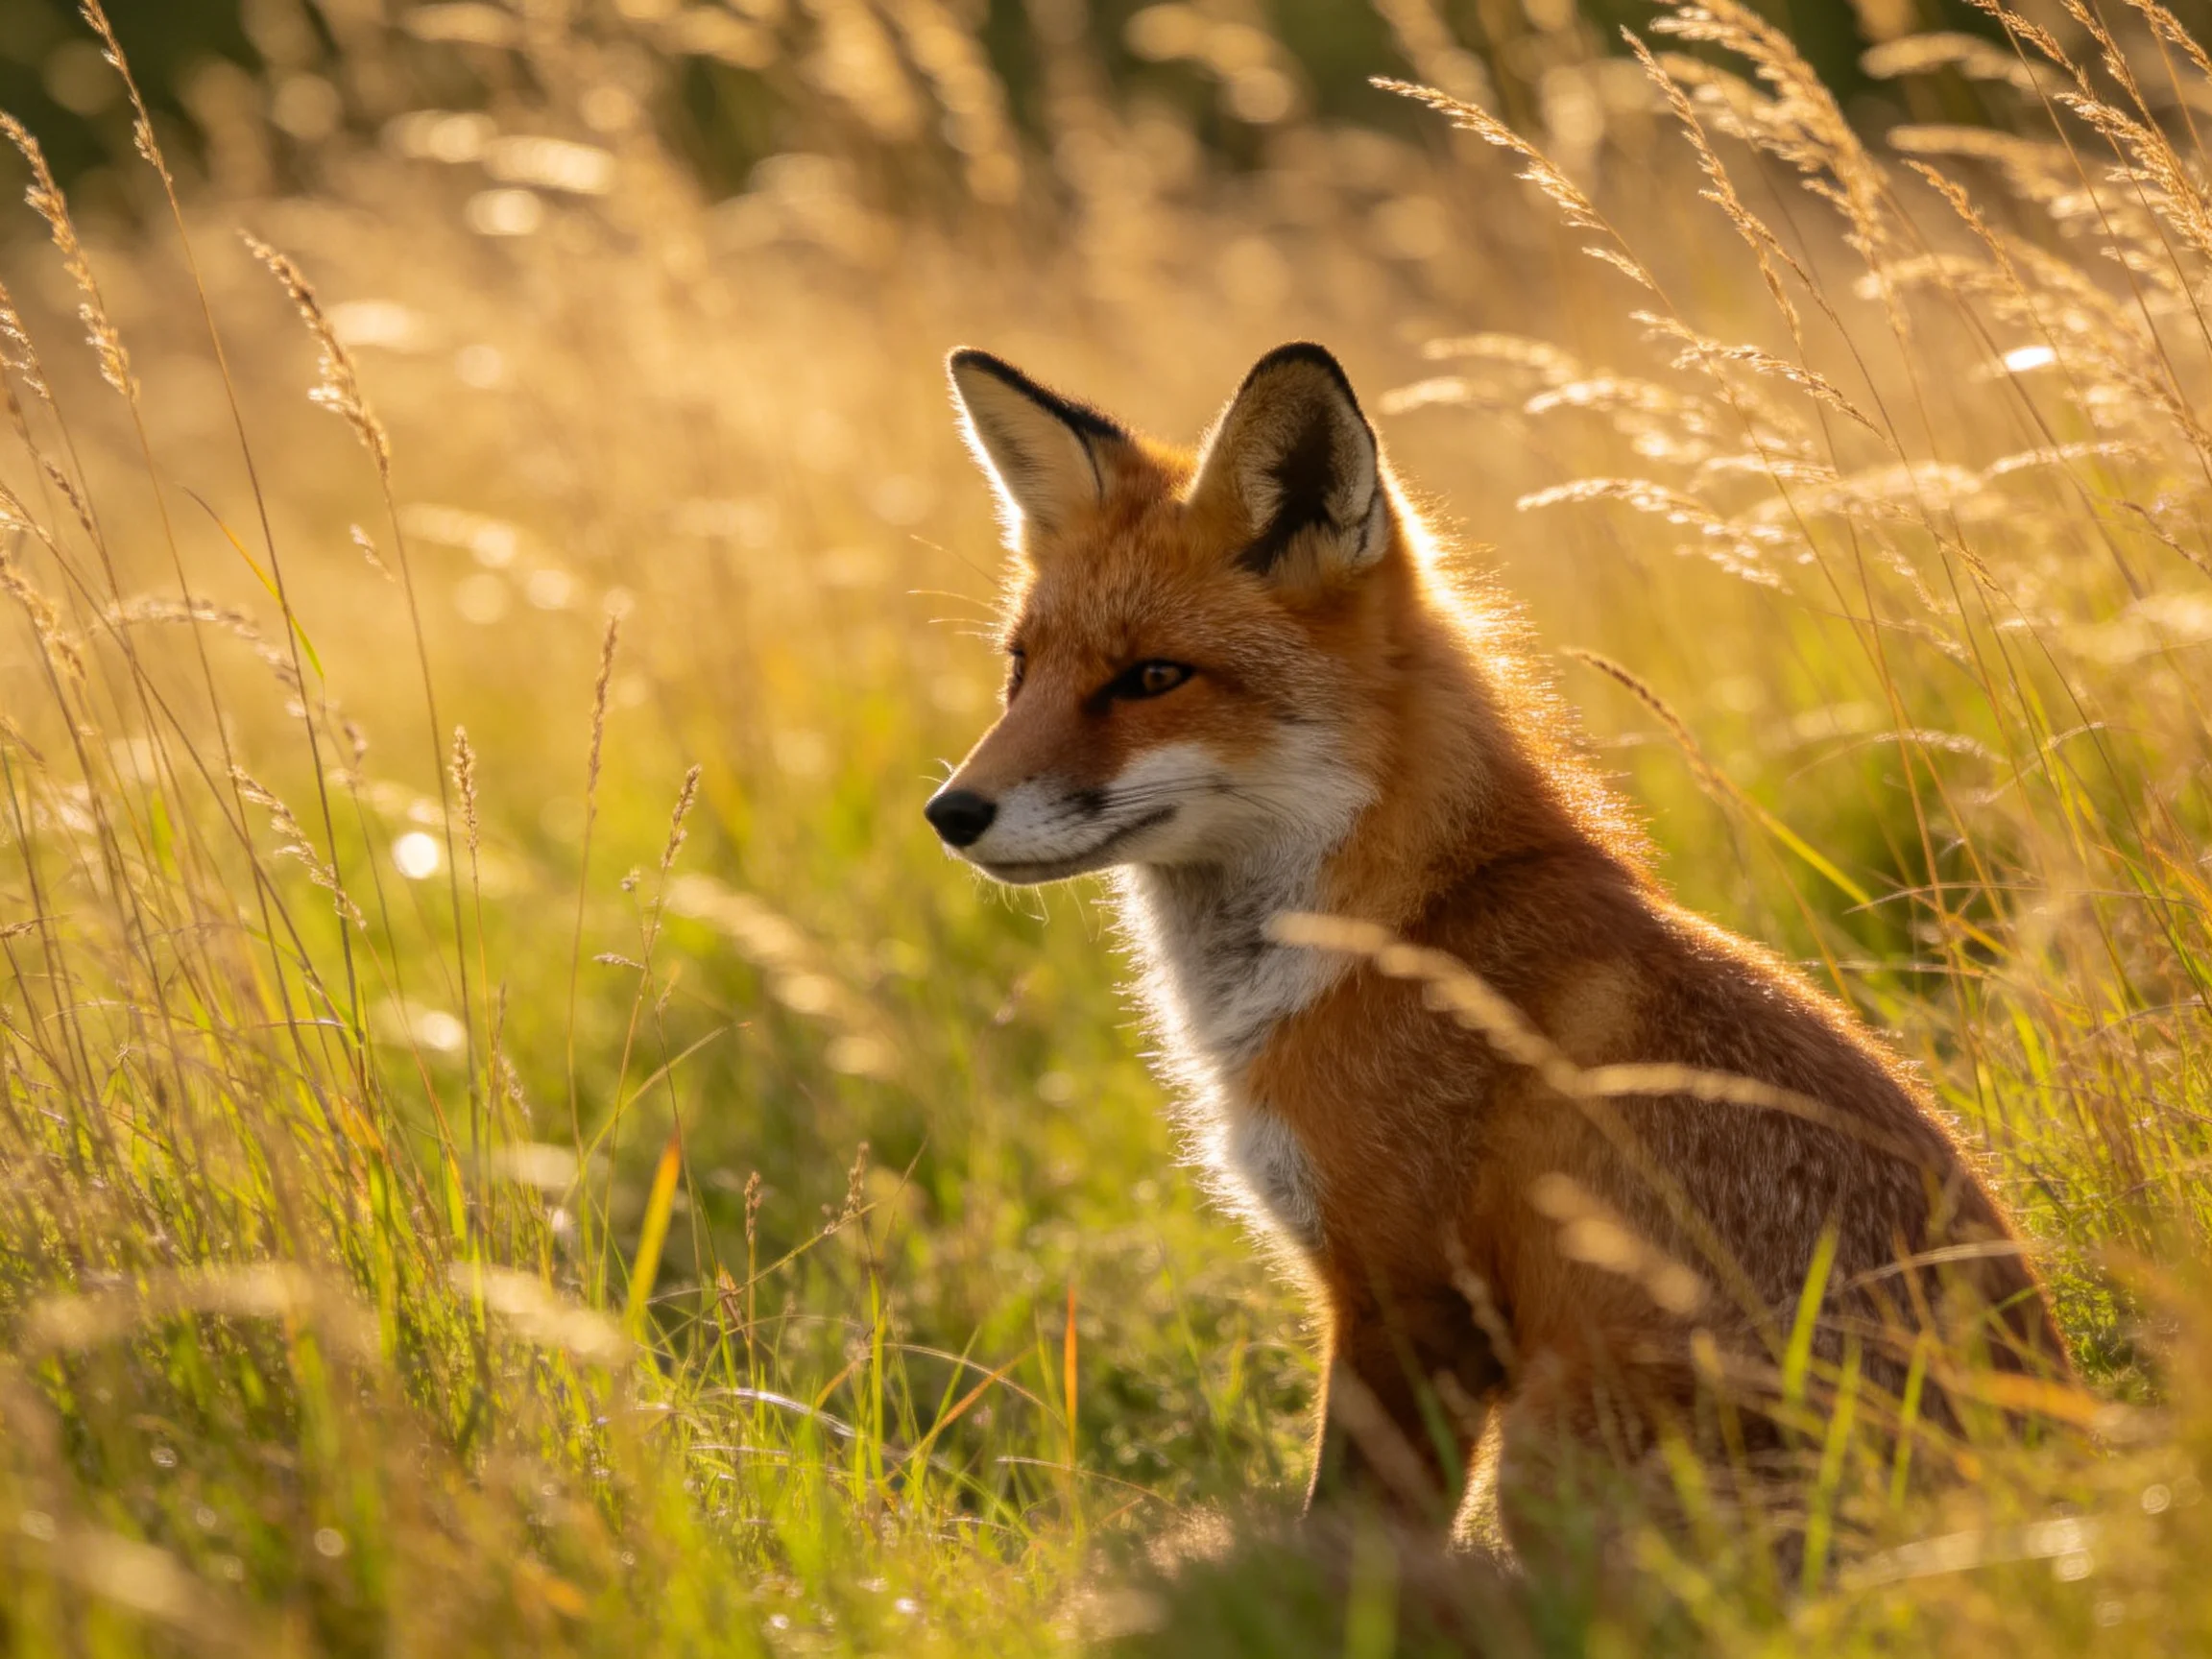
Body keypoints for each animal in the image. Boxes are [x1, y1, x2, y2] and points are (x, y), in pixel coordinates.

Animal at [923, 340, 2069, 1542]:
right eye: (1020, 670)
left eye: (1152, 677)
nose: (952, 813)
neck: (1392, 932)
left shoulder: (1410, 1294)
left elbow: (1351, 1533)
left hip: (1547, 1443)